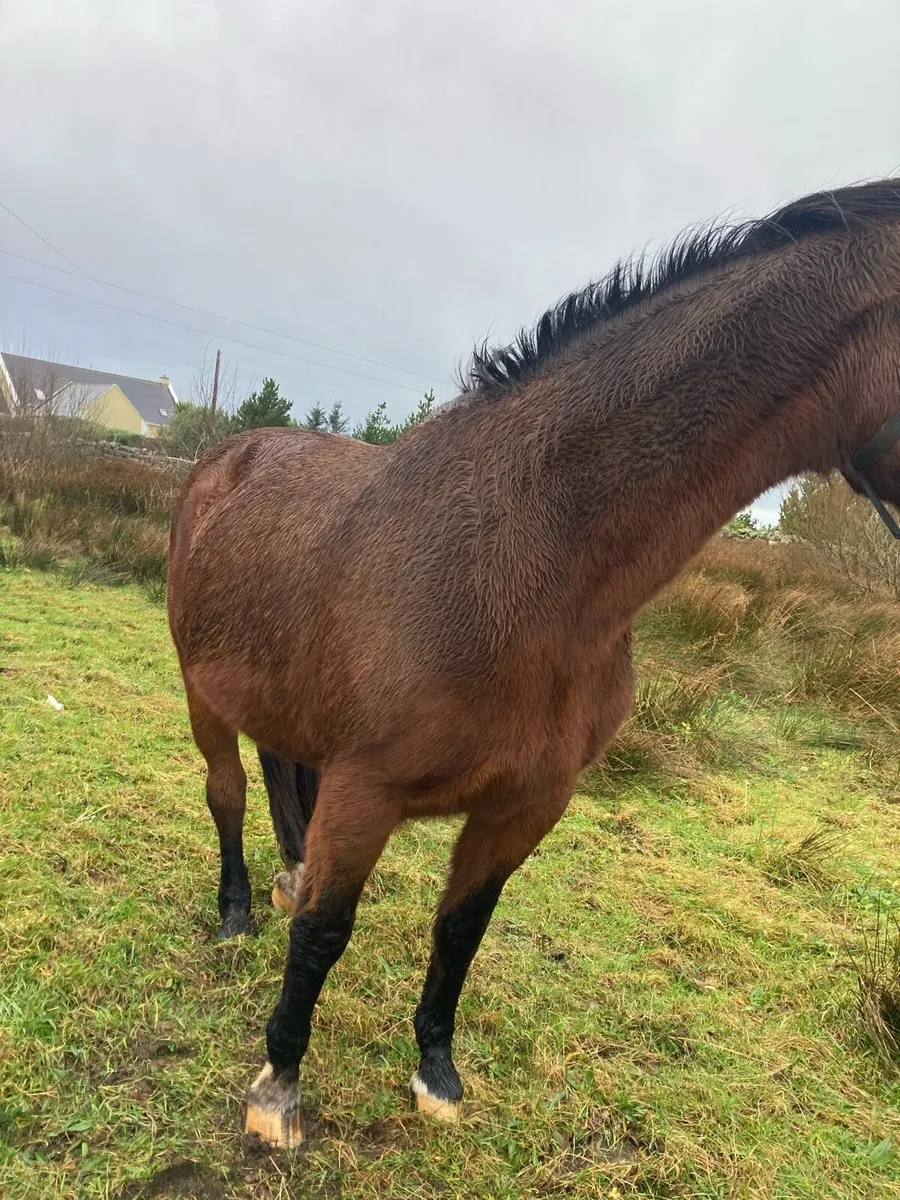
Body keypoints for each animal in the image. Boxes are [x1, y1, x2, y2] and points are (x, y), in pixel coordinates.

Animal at [168, 178, 900, 1148]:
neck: (528, 559)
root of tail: (229, 458)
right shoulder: (367, 791)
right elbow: (325, 933)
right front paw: (277, 1089)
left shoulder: (526, 804)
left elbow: (461, 932)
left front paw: (436, 1073)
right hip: (201, 691)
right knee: (228, 792)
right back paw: (238, 913)